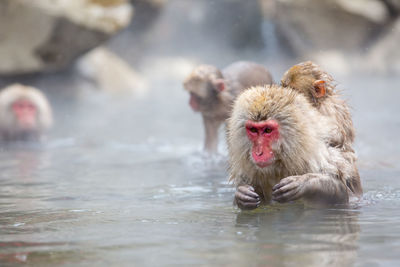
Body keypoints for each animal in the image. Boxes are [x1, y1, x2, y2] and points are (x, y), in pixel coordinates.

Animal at [228, 85, 362, 210]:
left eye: (267, 130)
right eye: (253, 130)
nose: (258, 152)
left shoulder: (325, 159)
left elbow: (346, 195)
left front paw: (306, 183)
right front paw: (241, 195)